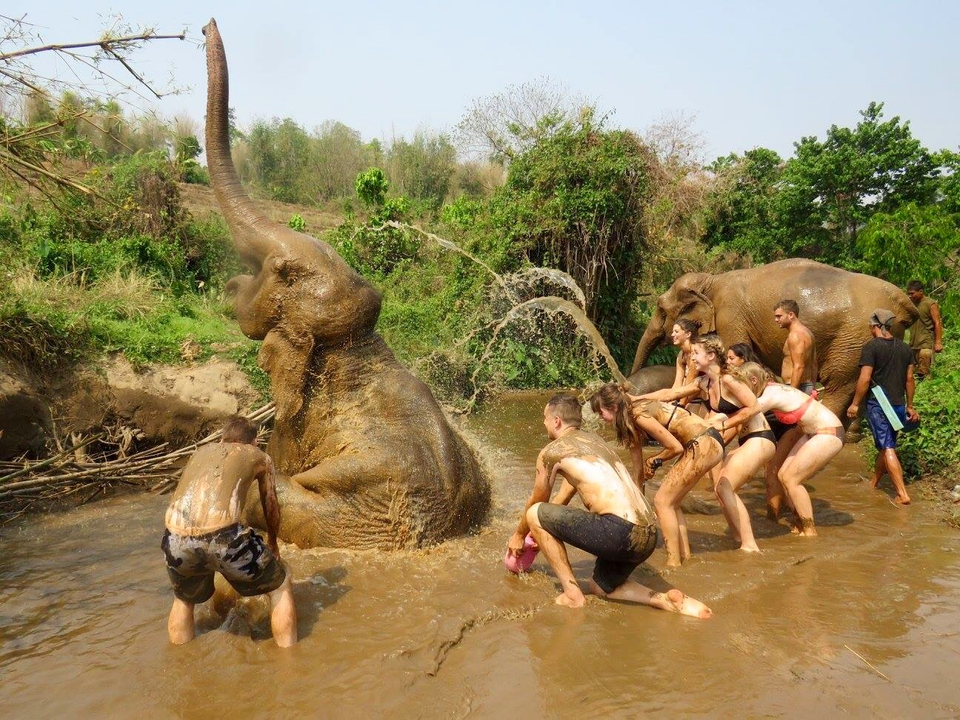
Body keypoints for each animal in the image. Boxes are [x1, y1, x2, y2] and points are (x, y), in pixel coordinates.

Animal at [630, 259, 918, 422]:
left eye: (661, 310)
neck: (711, 281)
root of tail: (903, 303)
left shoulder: (730, 317)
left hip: (852, 340)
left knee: (839, 383)